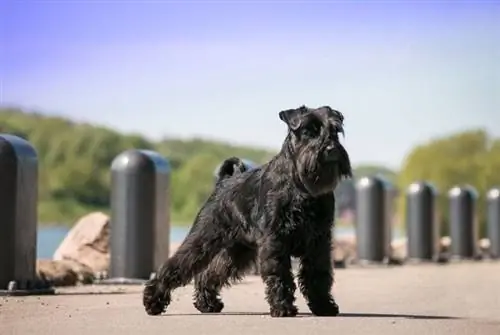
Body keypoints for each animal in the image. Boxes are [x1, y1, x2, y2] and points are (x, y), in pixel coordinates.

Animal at [143, 105, 354, 318]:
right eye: (309, 131)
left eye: (335, 130)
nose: (331, 149)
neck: (301, 186)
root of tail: (222, 183)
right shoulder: (276, 241)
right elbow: (279, 274)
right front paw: (283, 308)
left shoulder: (318, 243)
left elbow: (318, 275)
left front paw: (323, 306)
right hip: (202, 239)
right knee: (175, 266)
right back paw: (153, 301)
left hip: (238, 250)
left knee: (210, 274)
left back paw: (207, 304)